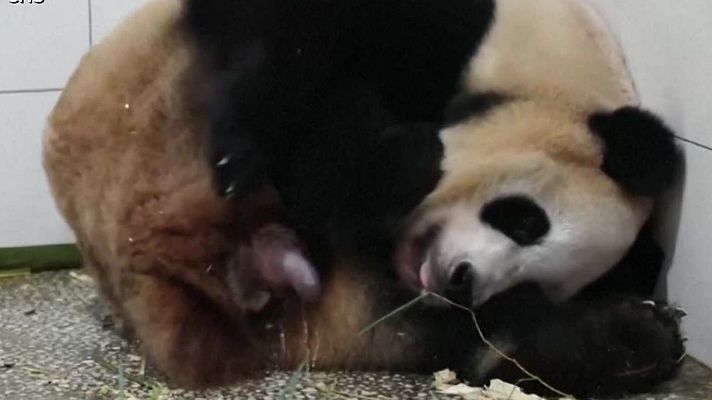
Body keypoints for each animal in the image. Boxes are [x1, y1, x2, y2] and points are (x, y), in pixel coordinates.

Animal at [43, 0, 685, 397]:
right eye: (525, 220)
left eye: (547, 277)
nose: (464, 283)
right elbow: (295, 59)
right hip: (155, 119)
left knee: (448, 333)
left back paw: (634, 338)